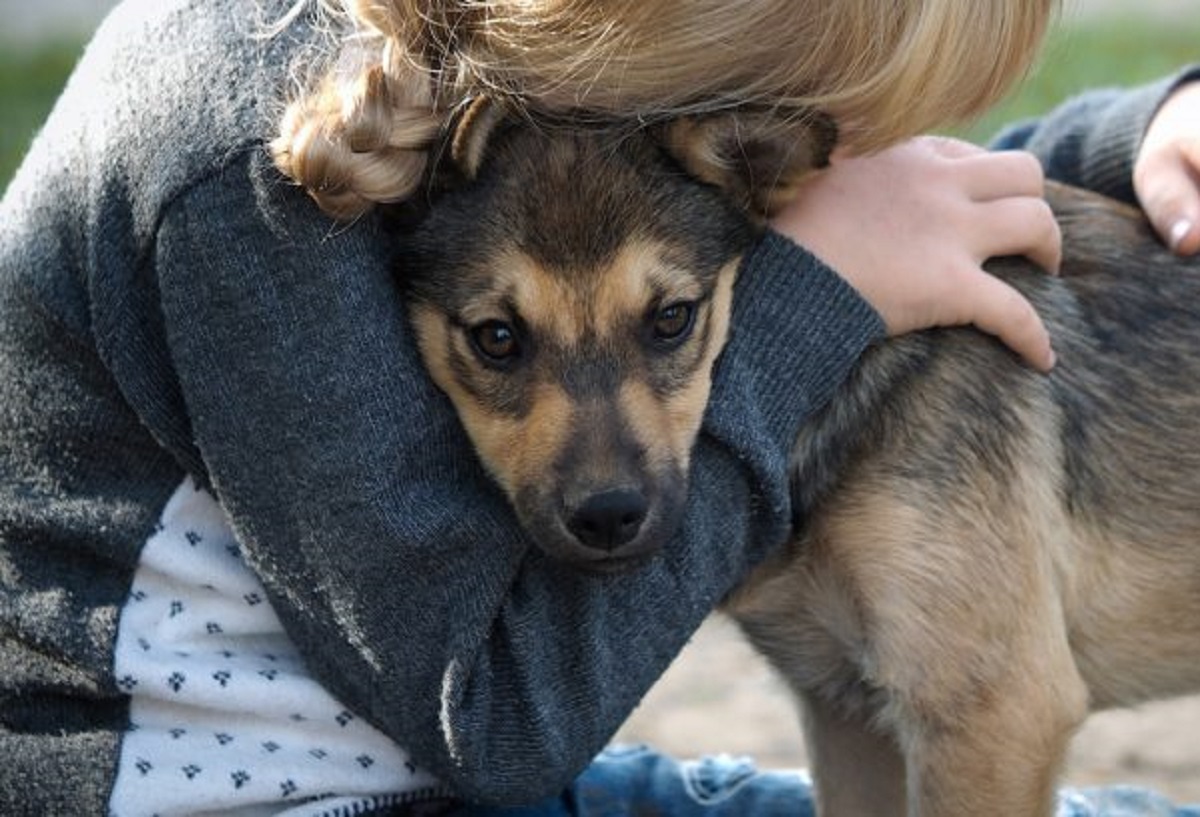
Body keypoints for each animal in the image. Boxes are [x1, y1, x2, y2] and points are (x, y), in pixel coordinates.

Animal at [393, 101, 1200, 815]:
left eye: (672, 318)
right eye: (496, 338)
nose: (609, 516)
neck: (849, 363)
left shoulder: (992, 711)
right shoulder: (849, 712)